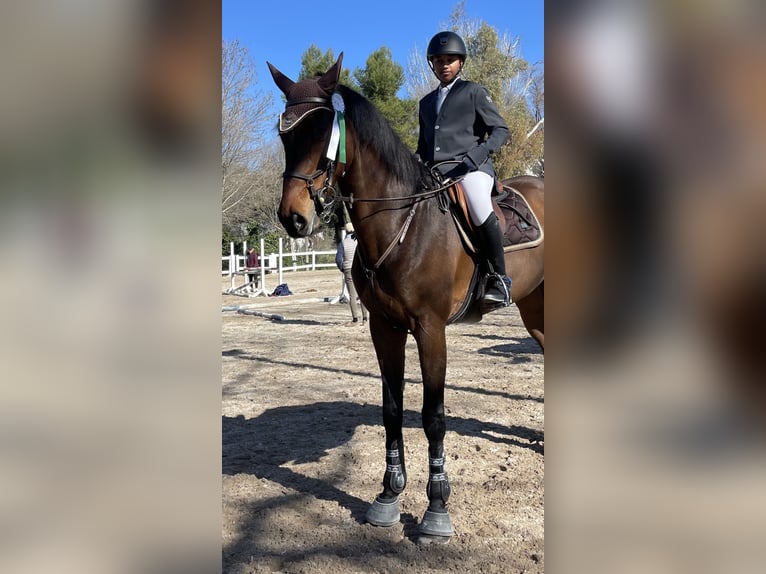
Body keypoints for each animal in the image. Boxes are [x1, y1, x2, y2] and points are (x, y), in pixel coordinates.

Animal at [267, 54, 544, 542]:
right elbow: (393, 410)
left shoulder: (431, 330)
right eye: (284, 134)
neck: (401, 222)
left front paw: (436, 508)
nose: (293, 218)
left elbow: (433, 416)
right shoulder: (386, 328)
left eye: (322, 132)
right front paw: (388, 496)